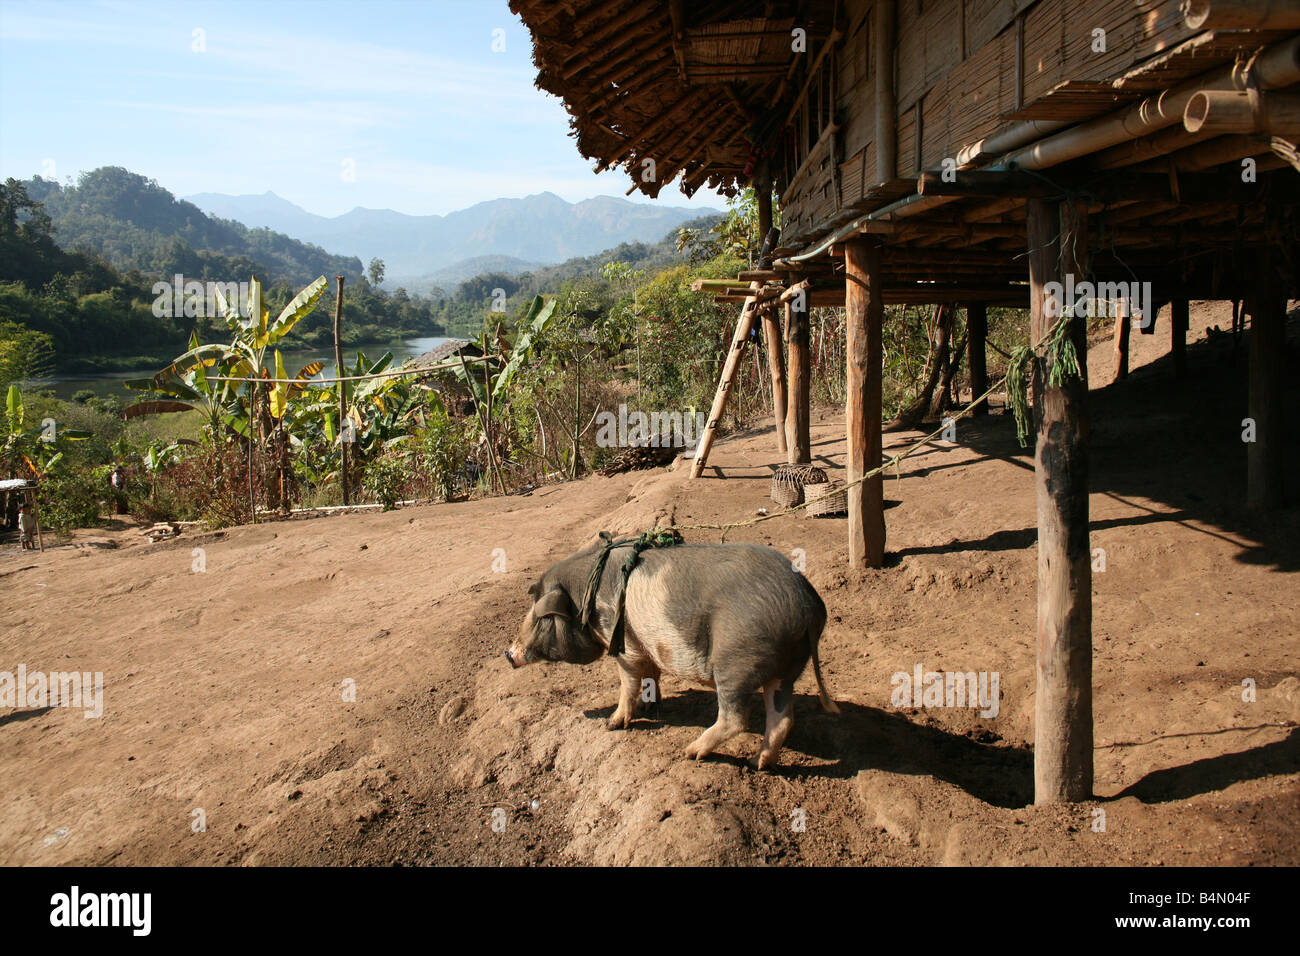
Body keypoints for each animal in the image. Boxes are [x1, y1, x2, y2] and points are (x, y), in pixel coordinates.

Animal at [501, 538, 837, 770]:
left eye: (540, 617)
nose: (508, 654)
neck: (586, 593)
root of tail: (806, 603)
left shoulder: (624, 643)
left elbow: (628, 682)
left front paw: (612, 723)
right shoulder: (645, 645)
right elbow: (652, 674)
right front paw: (651, 706)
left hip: (734, 662)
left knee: (736, 719)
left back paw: (690, 753)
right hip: (787, 669)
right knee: (782, 718)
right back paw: (758, 764)